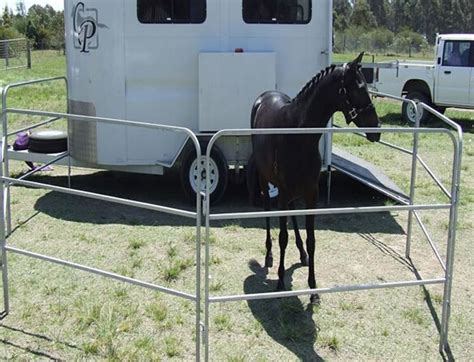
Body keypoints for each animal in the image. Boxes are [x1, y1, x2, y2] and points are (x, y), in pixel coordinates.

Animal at [252, 52, 382, 304]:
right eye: (359, 87)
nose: (377, 129)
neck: (298, 133)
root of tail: (264, 96)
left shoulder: (312, 192)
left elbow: (312, 240)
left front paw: (313, 289)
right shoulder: (283, 190)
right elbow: (282, 236)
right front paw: (280, 281)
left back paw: (301, 253)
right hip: (265, 179)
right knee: (267, 211)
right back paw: (269, 254)